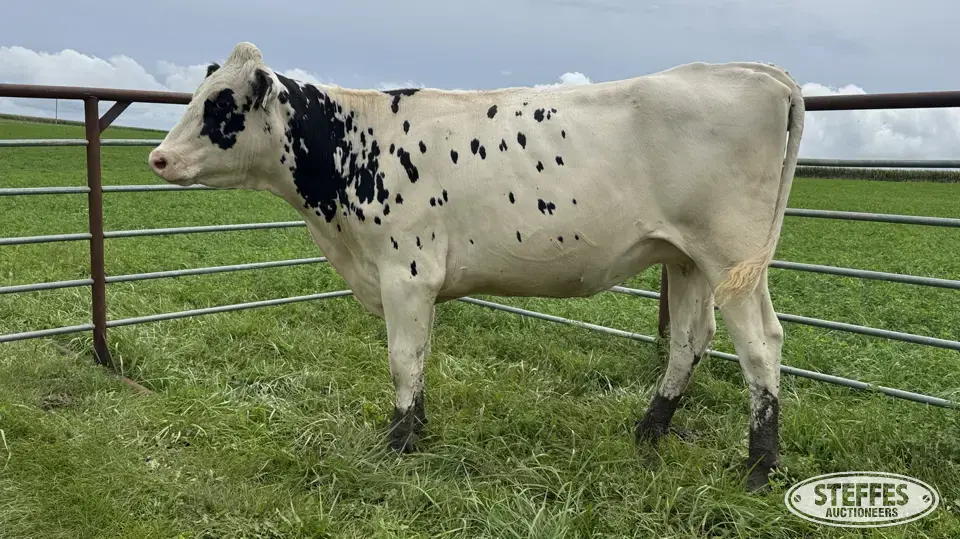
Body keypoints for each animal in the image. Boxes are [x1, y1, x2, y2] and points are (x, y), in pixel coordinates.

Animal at [148, 41, 804, 492]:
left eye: (221, 106)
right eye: (199, 96)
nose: (158, 157)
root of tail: (758, 73)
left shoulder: (406, 273)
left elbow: (403, 358)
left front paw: (398, 442)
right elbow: (418, 359)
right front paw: (415, 429)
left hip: (731, 258)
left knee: (760, 344)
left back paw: (758, 467)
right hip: (685, 257)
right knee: (691, 338)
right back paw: (650, 432)